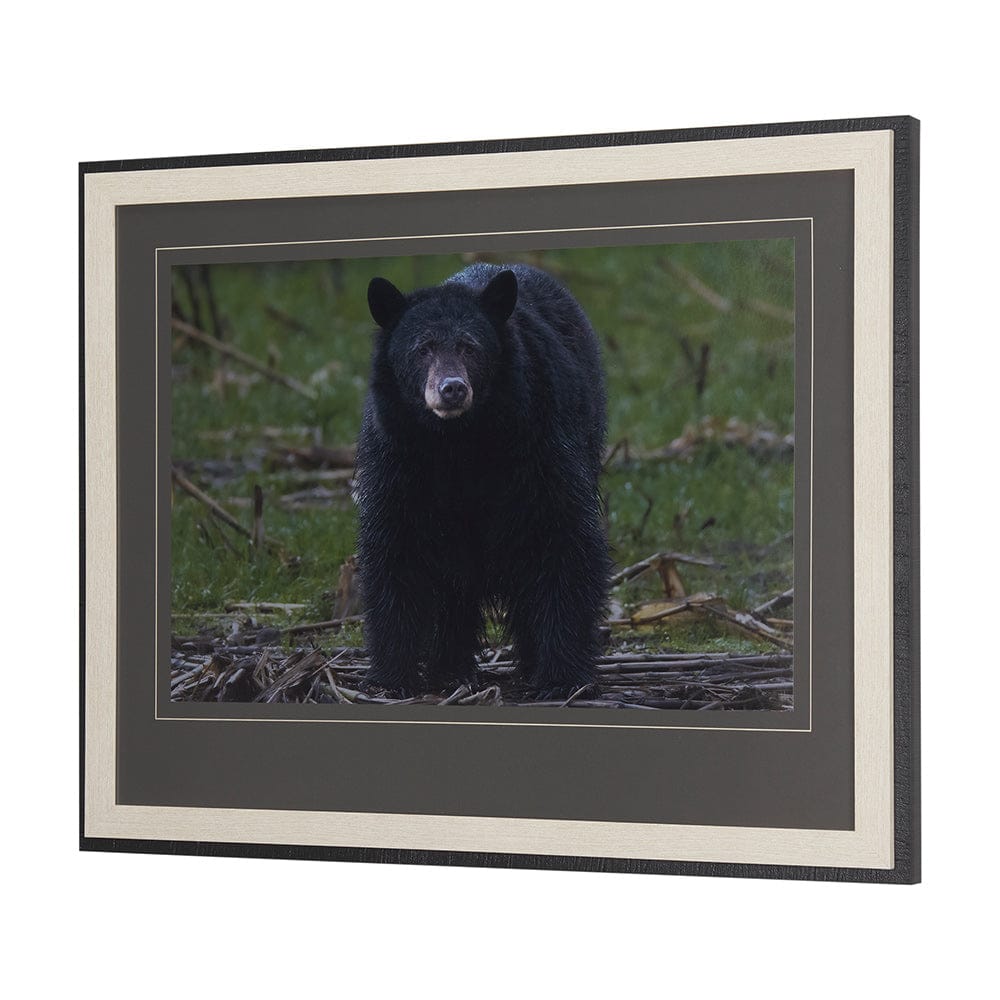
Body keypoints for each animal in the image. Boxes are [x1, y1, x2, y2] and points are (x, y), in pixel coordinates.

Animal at [355, 262, 609, 697]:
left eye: (470, 348)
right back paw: (450, 669)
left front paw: (561, 678)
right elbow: (396, 549)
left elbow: (564, 540)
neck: (460, 443)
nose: (452, 389)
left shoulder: (541, 443)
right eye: (422, 349)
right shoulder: (398, 458)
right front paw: (393, 677)